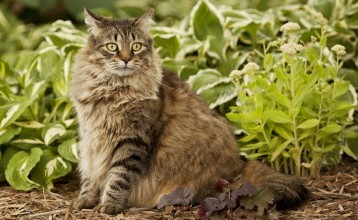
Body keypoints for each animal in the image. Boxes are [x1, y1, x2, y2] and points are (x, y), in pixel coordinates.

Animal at [70, 8, 310, 215]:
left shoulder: (133, 140)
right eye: (112, 47)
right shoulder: (90, 137)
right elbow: (90, 173)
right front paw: (86, 199)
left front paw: (110, 204)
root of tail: (239, 166)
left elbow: (118, 176)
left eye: (136, 46)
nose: (126, 59)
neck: (111, 90)